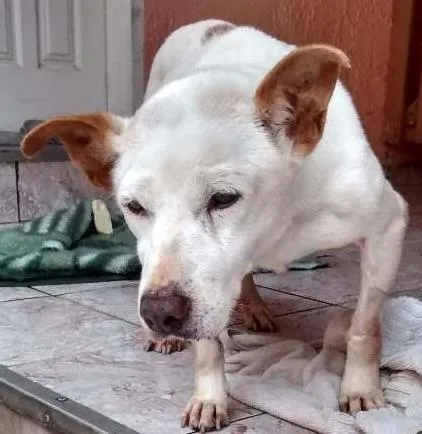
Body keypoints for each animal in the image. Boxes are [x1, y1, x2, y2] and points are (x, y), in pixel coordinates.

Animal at [21, 19, 408, 434]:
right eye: (134, 206)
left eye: (223, 198)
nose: (159, 314)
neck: (278, 222)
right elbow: (208, 346)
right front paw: (209, 397)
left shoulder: (388, 226)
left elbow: (364, 325)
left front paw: (361, 390)